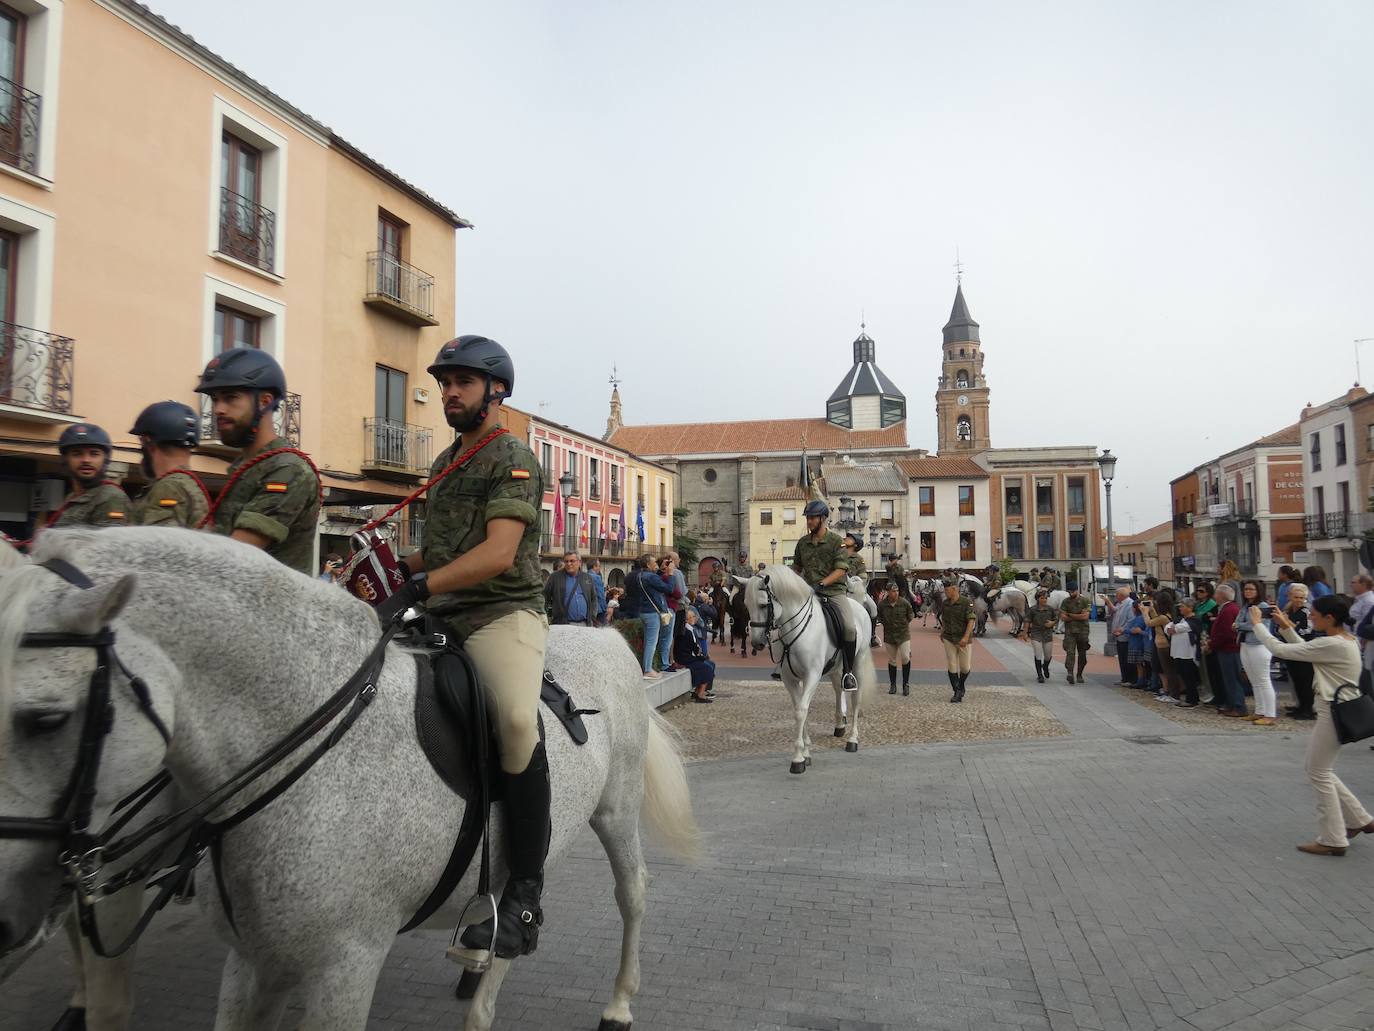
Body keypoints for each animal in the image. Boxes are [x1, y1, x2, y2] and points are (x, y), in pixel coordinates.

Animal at [0, 533, 703, 1031]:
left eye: (46, 718)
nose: (3, 920)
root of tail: (607, 638)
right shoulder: (254, 960)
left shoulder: (345, 966)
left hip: (615, 811)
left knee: (632, 893)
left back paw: (615, 1005)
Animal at [747, 566, 873, 775]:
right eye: (746, 606)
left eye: (764, 605)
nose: (757, 643)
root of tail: (857, 606)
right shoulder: (791, 680)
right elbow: (801, 710)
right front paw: (806, 754)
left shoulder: (811, 677)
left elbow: (801, 711)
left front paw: (797, 759)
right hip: (836, 667)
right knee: (839, 690)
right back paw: (840, 724)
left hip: (858, 662)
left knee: (856, 698)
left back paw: (853, 739)